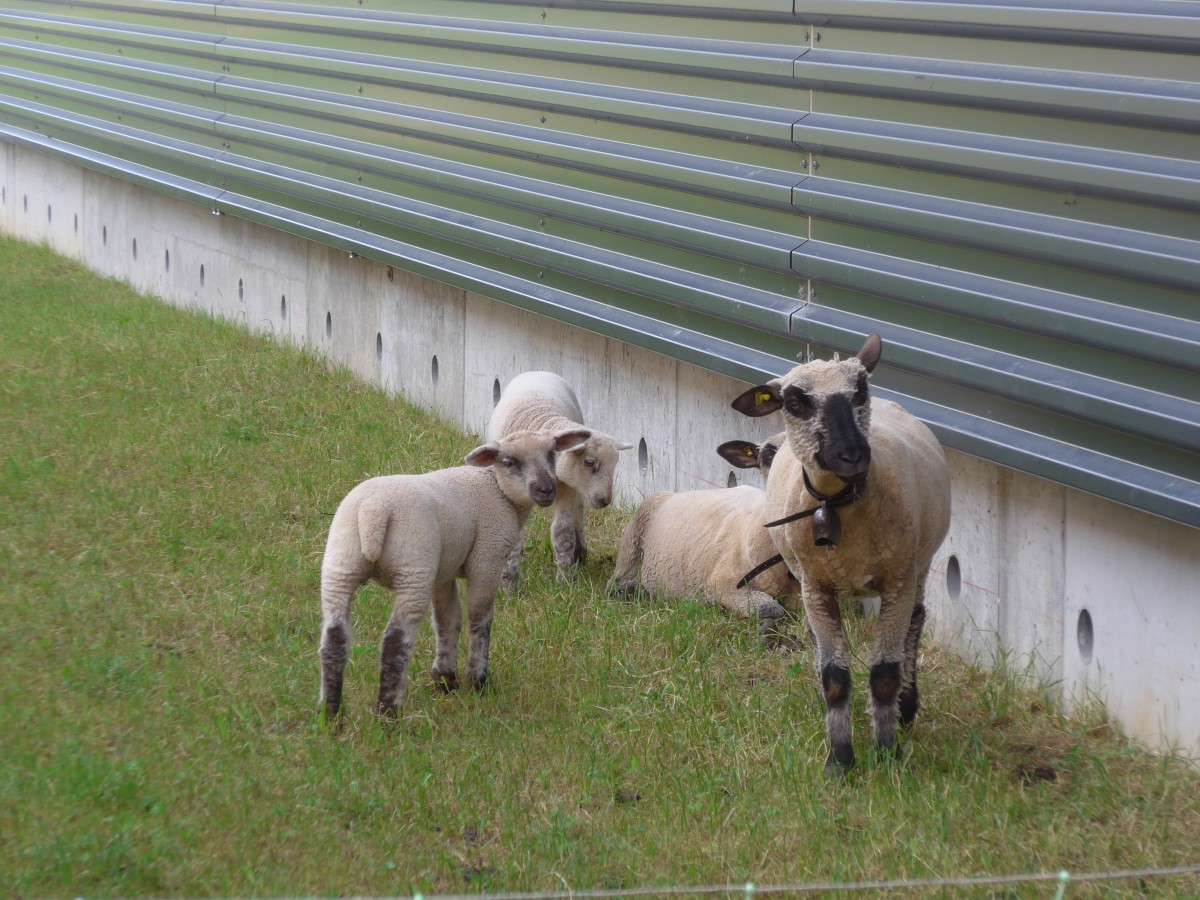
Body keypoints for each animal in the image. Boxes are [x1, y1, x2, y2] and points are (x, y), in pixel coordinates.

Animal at [318, 426, 592, 721]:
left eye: (552, 454)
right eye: (509, 462)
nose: (546, 489)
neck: (496, 487)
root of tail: (374, 511)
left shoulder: (444, 571)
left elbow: (447, 620)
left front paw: (445, 681)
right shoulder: (486, 559)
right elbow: (480, 620)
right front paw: (478, 681)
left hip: (340, 562)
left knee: (334, 637)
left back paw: (331, 715)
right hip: (413, 568)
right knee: (395, 641)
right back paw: (388, 714)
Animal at [487, 371, 634, 586]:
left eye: (614, 465)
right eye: (589, 462)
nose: (605, 500)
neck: (544, 422)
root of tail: (537, 372)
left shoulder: (567, 488)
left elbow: (563, 532)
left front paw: (564, 579)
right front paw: (511, 580)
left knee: (578, 510)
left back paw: (580, 551)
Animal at [605, 432, 801, 646]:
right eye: (768, 457)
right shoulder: (721, 585)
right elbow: (771, 608)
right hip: (634, 532)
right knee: (617, 580)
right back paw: (628, 590)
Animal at [732, 333, 951, 776]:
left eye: (860, 390)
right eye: (794, 401)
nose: (851, 454)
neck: (838, 504)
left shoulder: (898, 581)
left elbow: (884, 674)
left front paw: (887, 754)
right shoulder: (816, 587)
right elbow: (835, 677)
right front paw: (840, 760)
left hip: (918, 565)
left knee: (916, 622)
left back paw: (907, 706)